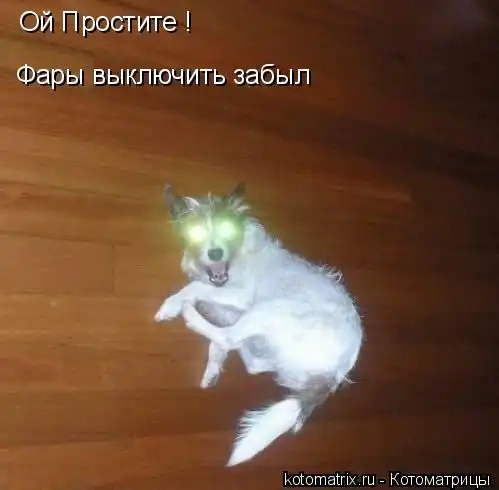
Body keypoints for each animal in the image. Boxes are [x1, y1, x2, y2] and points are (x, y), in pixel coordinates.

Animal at [154, 183, 363, 467]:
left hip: (268, 309)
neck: (233, 260)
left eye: (227, 228)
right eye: (196, 231)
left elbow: (196, 289)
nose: (215, 253)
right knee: (249, 360)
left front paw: (173, 304)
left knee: (230, 338)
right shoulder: (226, 309)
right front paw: (213, 368)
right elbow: (218, 344)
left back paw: (189, 314)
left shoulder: (238, 296)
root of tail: (334, 375)